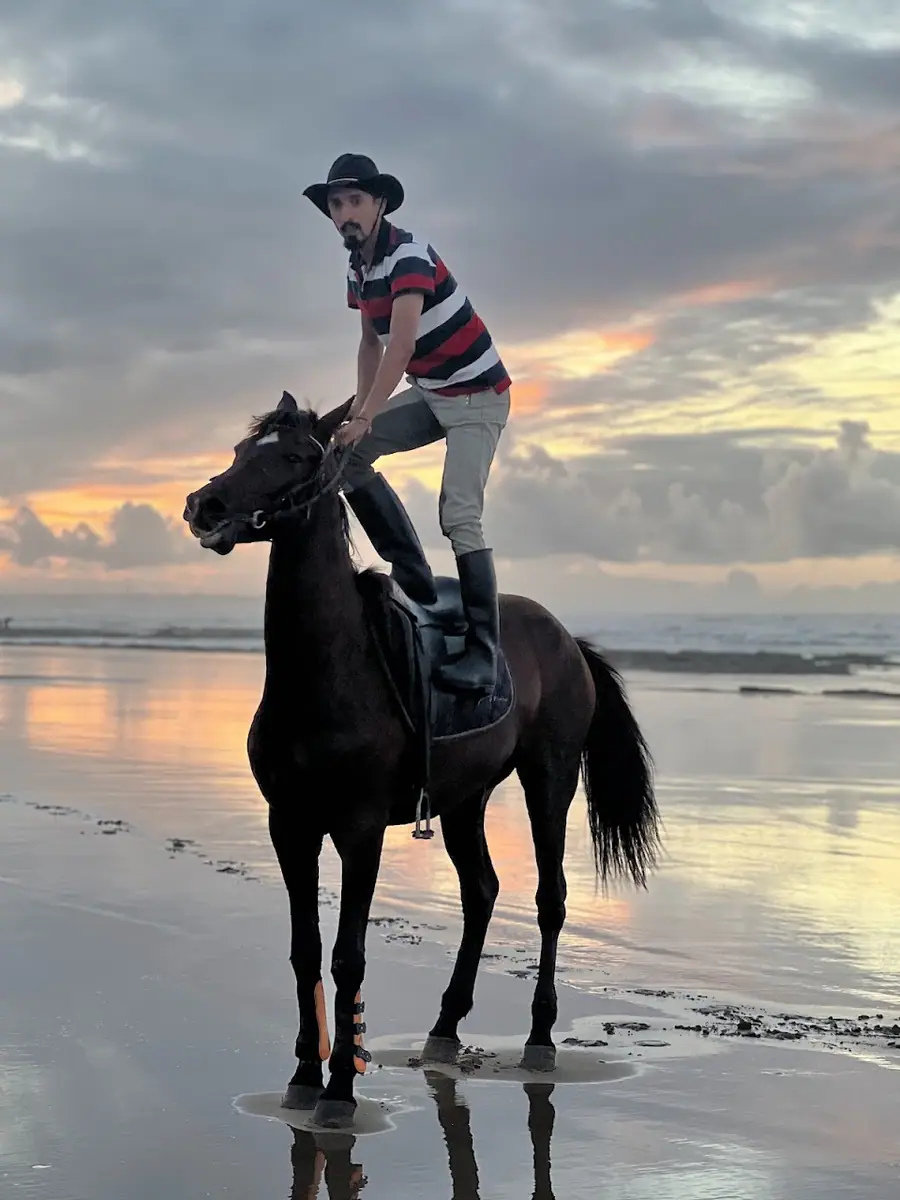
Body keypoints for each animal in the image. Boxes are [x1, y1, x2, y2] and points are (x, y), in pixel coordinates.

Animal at [184, 391, 660, 1130]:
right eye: (238, 453)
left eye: (290, 458)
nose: (204, 505)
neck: (329, 670)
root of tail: (565, 639)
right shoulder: (289, 825)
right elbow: (304, 951)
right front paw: (303, 1077)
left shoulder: (358, 830)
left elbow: (347, 956)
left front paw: (339, 1092)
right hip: (464, 799)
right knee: (481, 891)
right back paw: (444, 1029)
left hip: (549, 777)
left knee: (549, 899)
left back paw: (540, 1038)